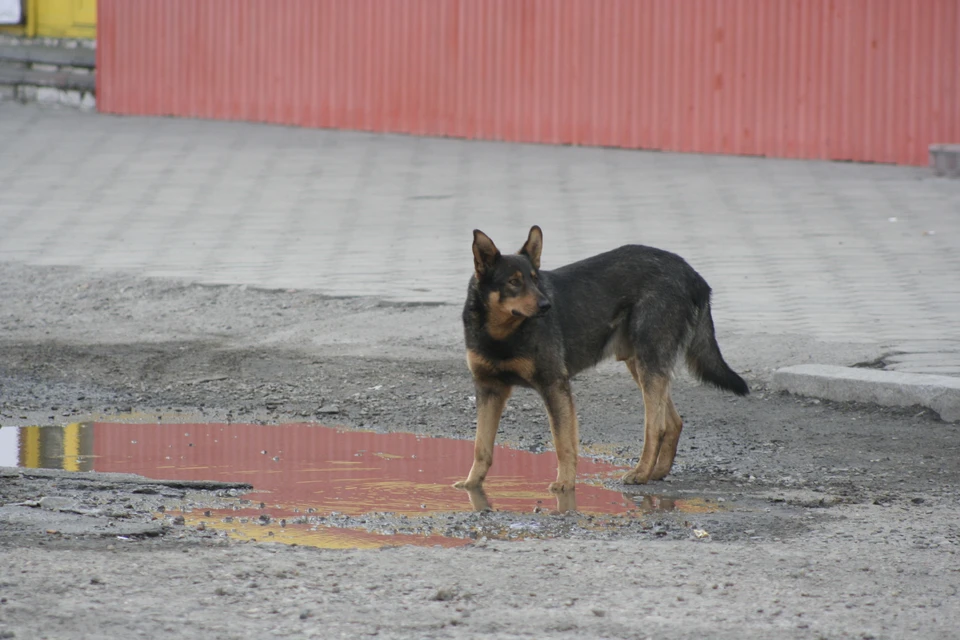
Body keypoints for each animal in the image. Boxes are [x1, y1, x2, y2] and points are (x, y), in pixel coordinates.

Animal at [454, 228, 748, 492]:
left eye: (536, 280)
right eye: (514, 282)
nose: (547, 306)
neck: (501, 335)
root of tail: (693, 274)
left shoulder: (554, 386)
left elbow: (563, 443)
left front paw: (565, 483)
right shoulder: (489, 390)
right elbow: (481, 446)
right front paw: (472, 483)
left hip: (649, 365)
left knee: (656, 427)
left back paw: (641, 472)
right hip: (640, 365)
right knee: (673, 423)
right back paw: (658, 471)